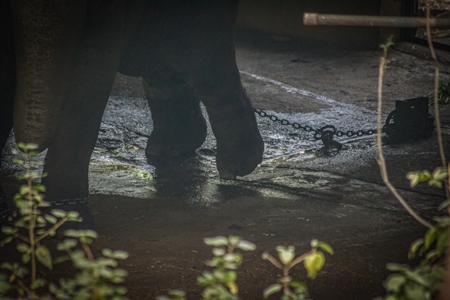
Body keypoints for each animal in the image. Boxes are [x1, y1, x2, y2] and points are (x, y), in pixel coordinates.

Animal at [0, 0, 264, 204]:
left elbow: (91, 67)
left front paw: (64, 204)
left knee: (204, 63)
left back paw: (234, 168)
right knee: (164, 67)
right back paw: (170, 150)